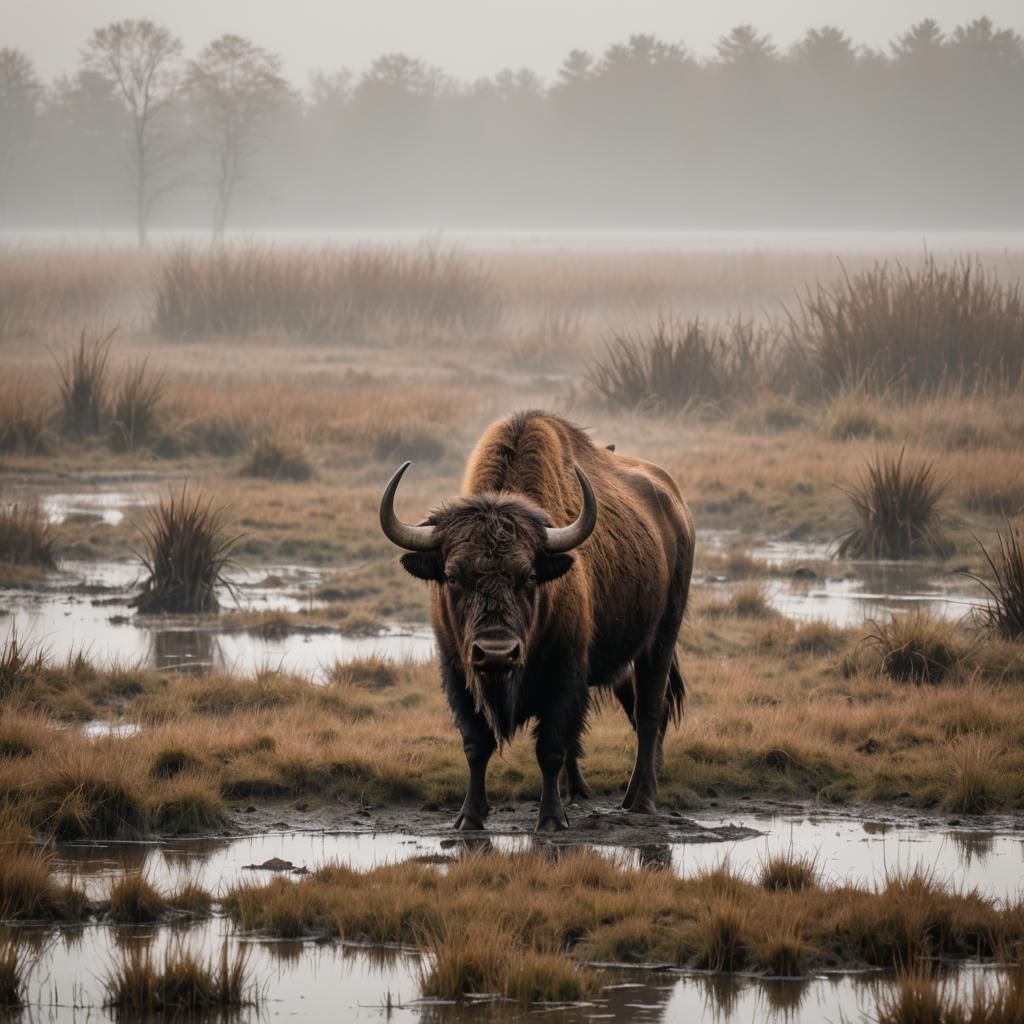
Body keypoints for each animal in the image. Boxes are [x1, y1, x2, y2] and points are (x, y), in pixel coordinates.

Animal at [379, 411, 694, 832]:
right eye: (452, 575)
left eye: (528, 575)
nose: (496, 653)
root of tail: (676, 509)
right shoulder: (458, 673)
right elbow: (476, 746)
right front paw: (469, 817)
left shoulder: (565, 675)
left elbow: (551, 749)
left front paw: (551, 819)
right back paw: (601, 794)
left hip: (660, 641)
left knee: (648, 715)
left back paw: (642, 801)